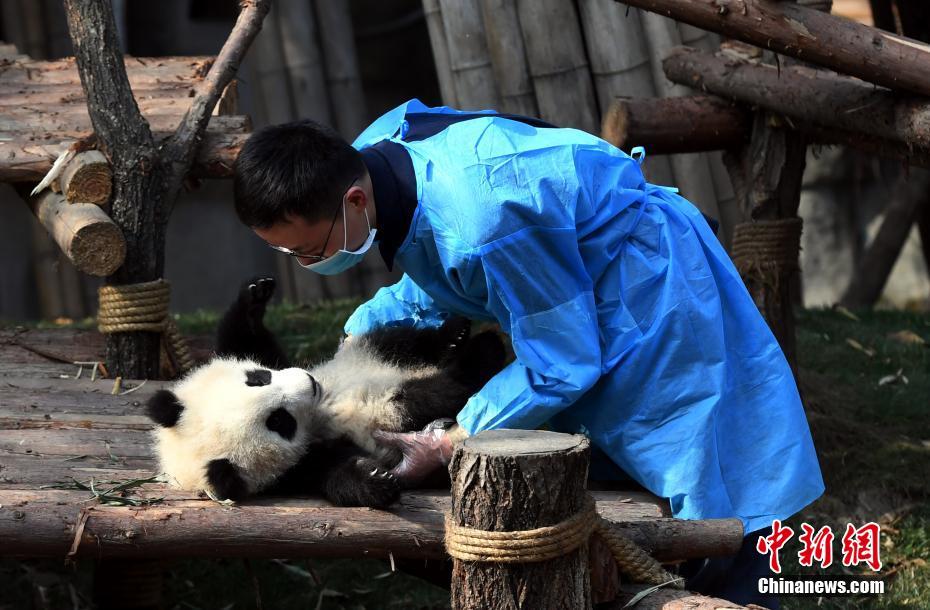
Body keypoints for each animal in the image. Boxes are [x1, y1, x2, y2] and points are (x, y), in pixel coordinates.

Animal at [146, 276, 504, 504]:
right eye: (280, 421)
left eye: (258, 378)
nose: (309, 382)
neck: (321, 411)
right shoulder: (302, 465)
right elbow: (336, 474)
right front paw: (377, 481)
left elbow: (242, 340)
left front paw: (255, 296)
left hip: (369, 353)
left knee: (403, 342)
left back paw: (460, 338)